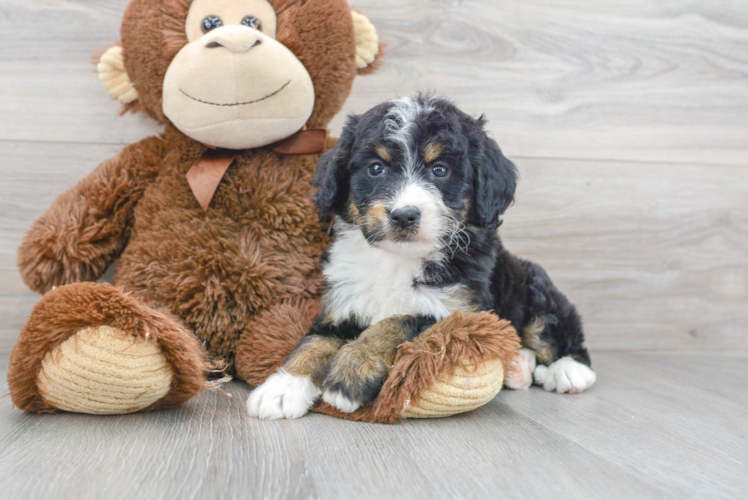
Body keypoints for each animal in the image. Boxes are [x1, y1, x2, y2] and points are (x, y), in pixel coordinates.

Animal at [248, 95, 600, 420]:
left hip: (534, 286)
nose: (404, 215)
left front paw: (353, 369)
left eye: (440, 170)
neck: (397, 260)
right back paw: (518, 368)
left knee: (556, 331)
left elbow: (397, 323)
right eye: (376, 168)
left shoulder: (457, 312)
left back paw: (568, 371)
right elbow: (314, 342)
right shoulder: (341, 303)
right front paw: (282, 387)